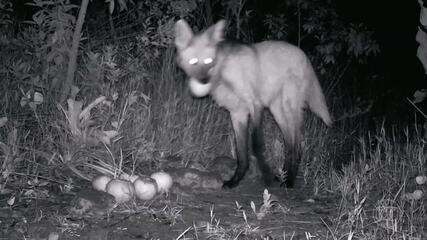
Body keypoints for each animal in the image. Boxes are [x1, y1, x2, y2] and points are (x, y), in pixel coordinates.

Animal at [174, 19, 334, 188]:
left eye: (209, 61)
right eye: (193, 62)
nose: (203, 81)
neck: (223, 72)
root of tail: (304, 55)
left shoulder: (255, 105)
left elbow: (256, 145)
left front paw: (266, 175)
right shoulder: (237, 114)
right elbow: (241, 153)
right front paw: (235, 181)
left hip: (288, 108)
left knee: (298, 144)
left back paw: (289, 180)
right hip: (278, 112)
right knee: (290, 144)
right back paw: (284, 176)